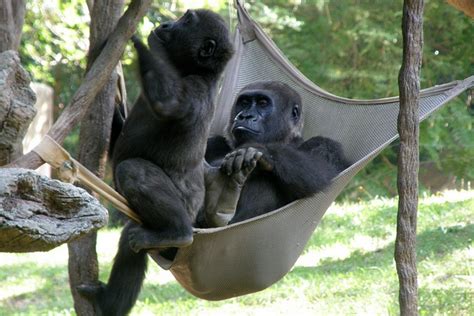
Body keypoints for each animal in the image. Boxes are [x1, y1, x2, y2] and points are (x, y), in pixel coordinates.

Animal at [80, 9, 234, 316]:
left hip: (187, 212)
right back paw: (107, 304)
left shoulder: (196, 89)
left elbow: (169, 103)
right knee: (131, 243)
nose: (165, 24)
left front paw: (135, 38)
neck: (194, 69)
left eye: (186, 21)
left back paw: (177, 233)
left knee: (132, 170)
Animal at [201, 81, 348, 225]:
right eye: (244, 102)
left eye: (262, 103)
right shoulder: (214, 141)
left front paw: (263, 152)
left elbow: (320, 171)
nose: (245, 116)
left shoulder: (327, 146)